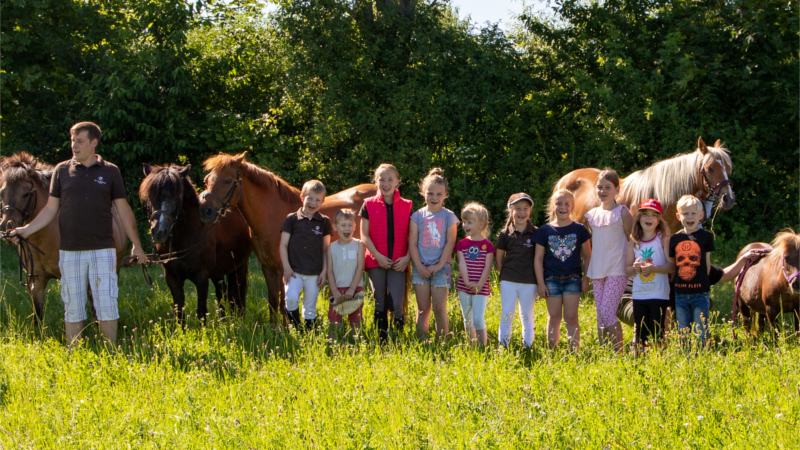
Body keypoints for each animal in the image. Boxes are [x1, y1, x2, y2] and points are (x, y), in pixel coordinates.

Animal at [139, 163, 253, 322]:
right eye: (150, 197)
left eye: (176, 197)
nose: (159, 232)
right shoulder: (172, 278)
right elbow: (179, 311)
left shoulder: (202, 277)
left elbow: (201, 311)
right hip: (218, 272)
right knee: (222, 293)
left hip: (239, 267)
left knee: (236, 295)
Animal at [197, 153, 378, 326]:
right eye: (207, 180)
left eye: (228, 180)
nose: (205, 211)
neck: (272, 214)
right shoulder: (268, 267)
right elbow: (273, 300)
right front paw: (274, 329)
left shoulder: (283, 269)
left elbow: (283, 302)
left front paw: (286, 330)